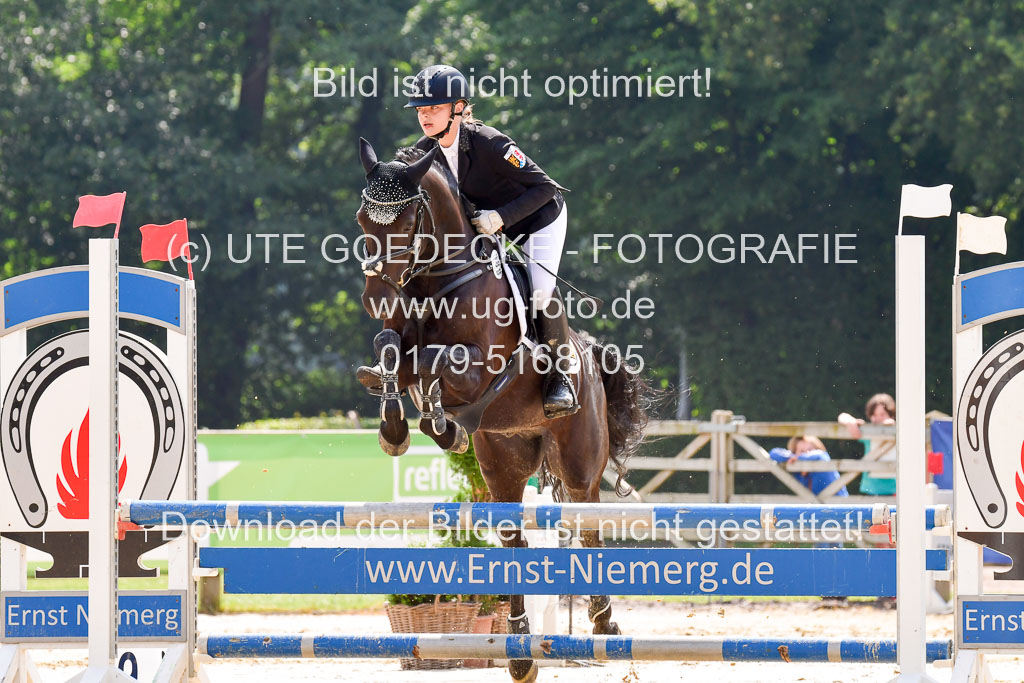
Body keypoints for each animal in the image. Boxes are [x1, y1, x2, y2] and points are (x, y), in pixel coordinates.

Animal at [354, 138, 650, 683]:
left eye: (407, 222)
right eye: (364, 219)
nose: (376, 297)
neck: (436, 282)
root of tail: (589, 353)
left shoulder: (482, 369)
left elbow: (434, 362)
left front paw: (438, 422)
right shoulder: (399, 341)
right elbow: (390, 355)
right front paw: (398, 429)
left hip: (579, 463)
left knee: (590, 526)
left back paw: (603, 623)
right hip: (503, 462)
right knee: (516, 545)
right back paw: (519, 648)